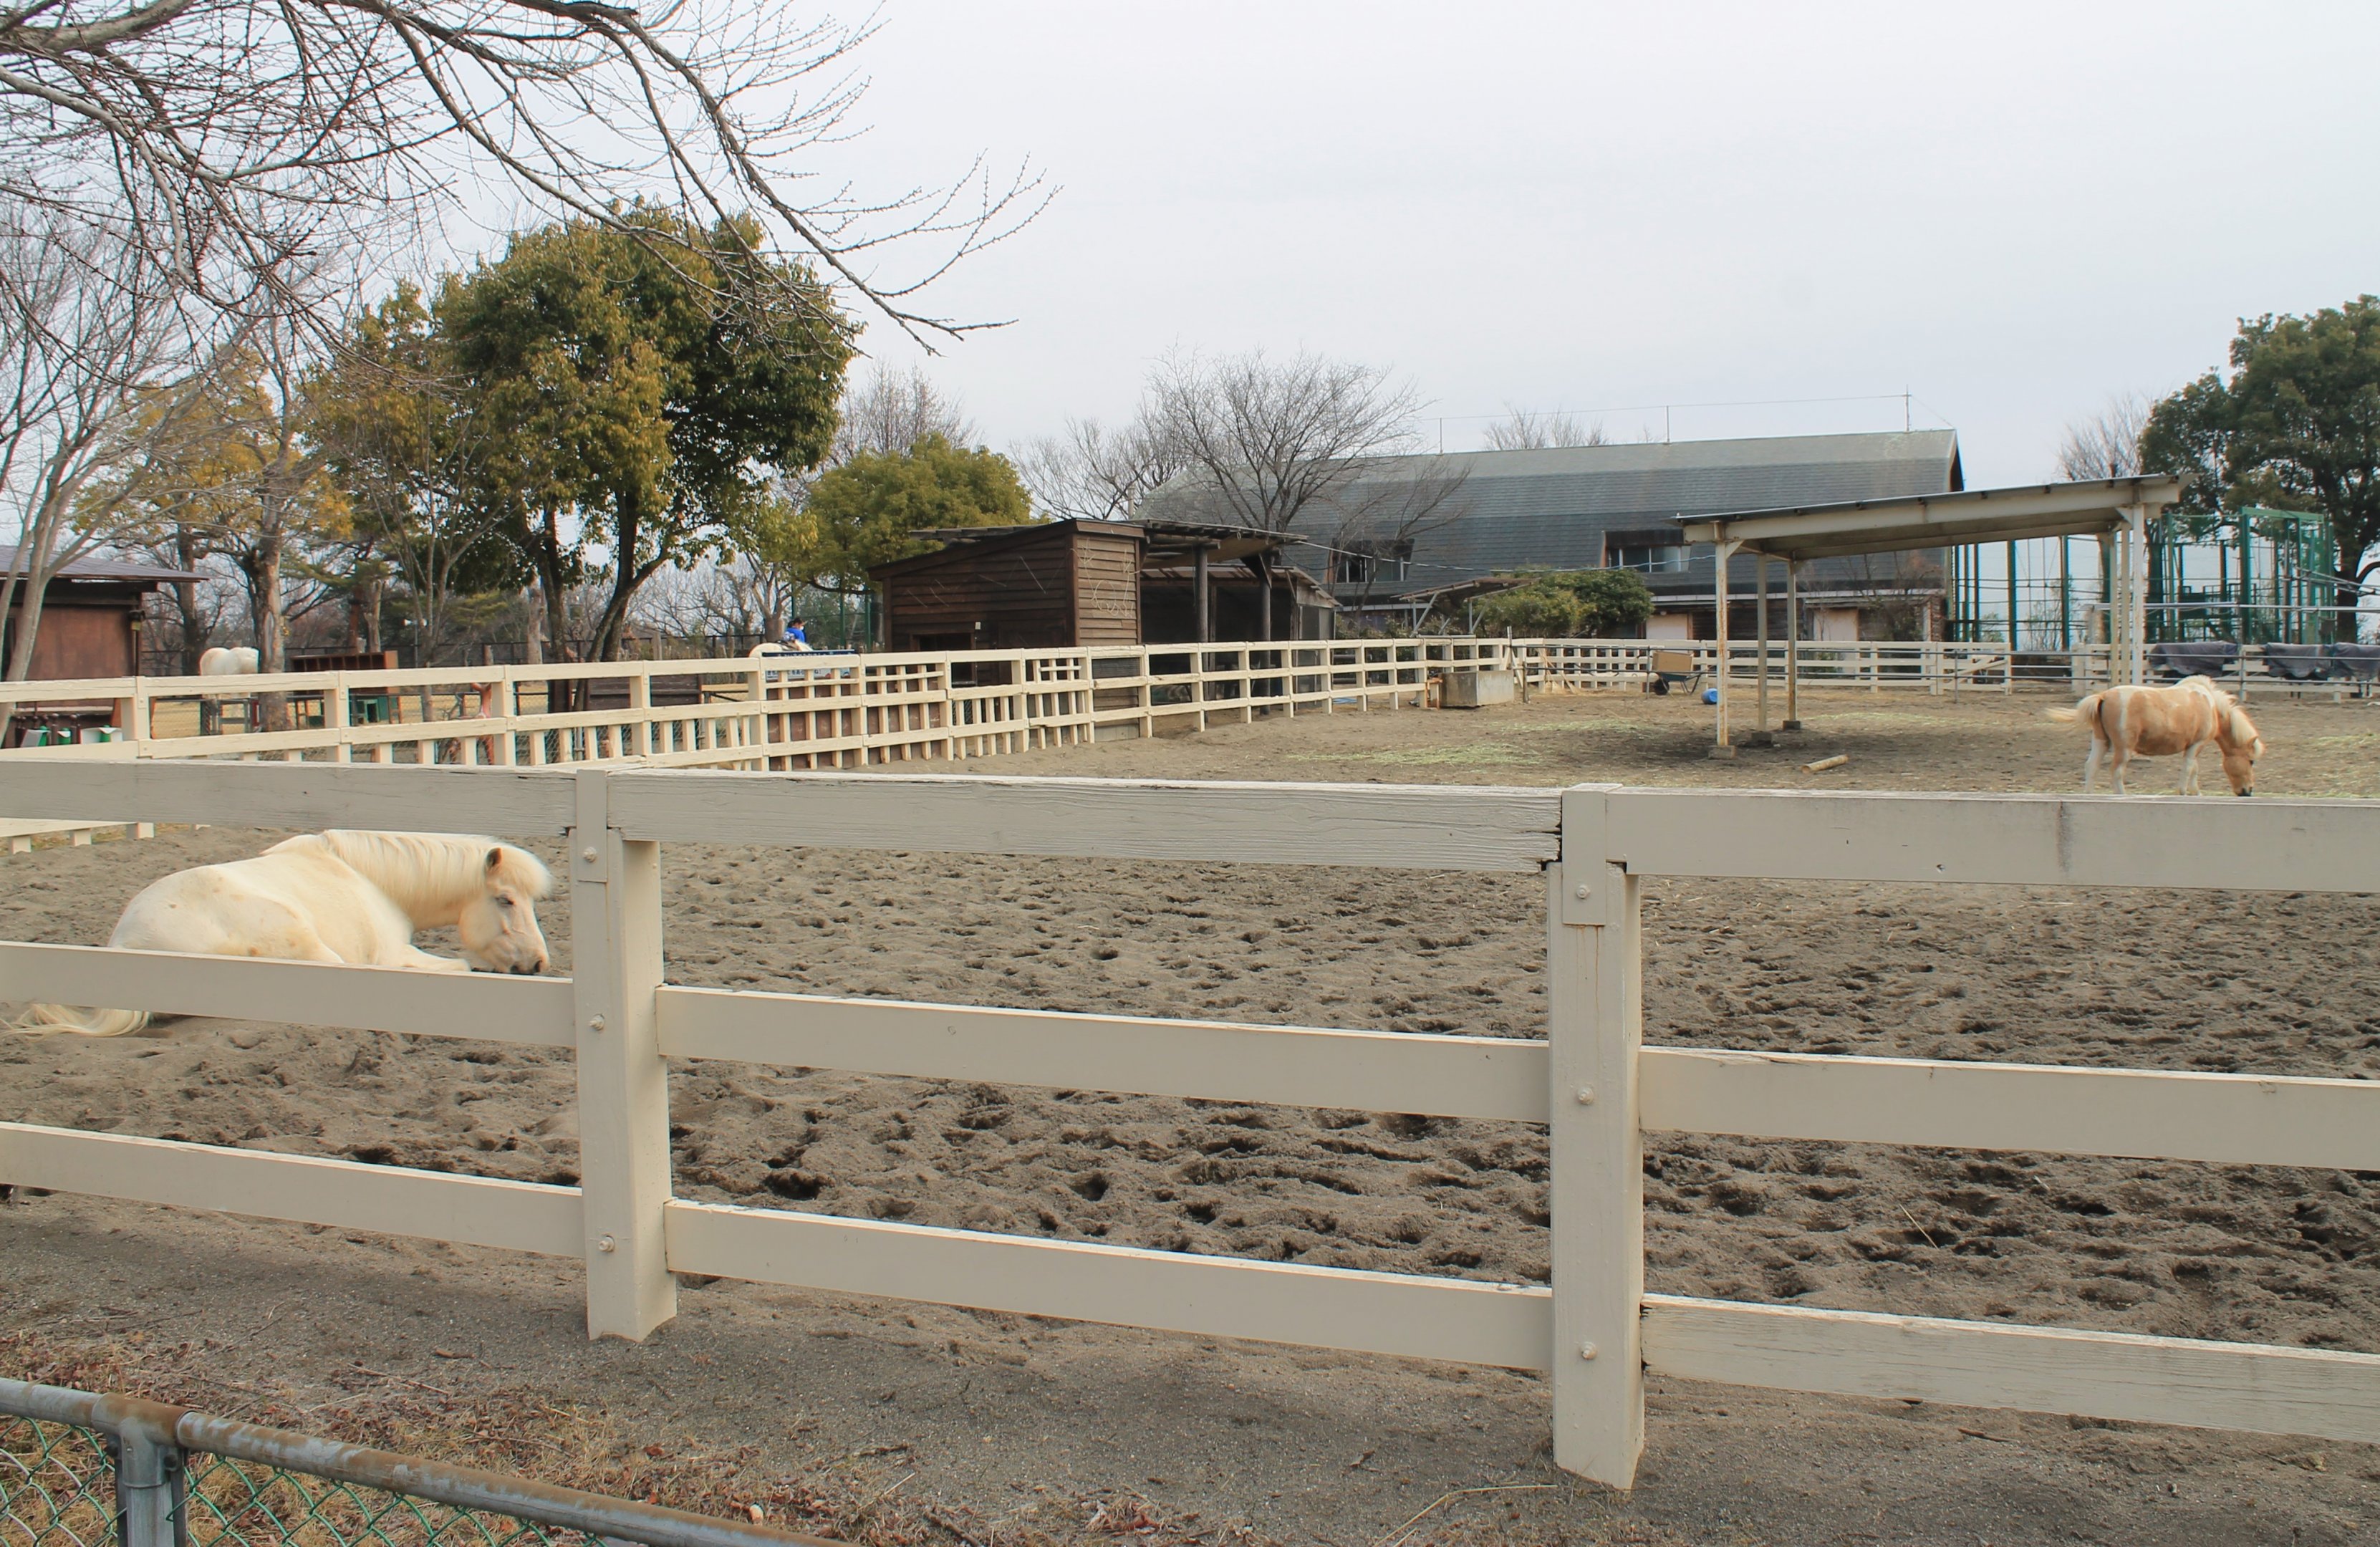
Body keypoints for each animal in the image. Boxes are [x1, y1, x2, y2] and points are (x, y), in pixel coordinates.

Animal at [9, 831, 553, 1037]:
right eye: (506, 900)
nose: (538, 964)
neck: (372, 880)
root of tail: (126, 948)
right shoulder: (391, 956)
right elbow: (460, 965)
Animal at [2047, 679, 2263, 796]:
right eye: (2251, 761)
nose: (2248, 791)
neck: (2210, 704)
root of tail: (2104, 697)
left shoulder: (2193, 747)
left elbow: (2194, 769)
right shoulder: (2196, 745)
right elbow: (2189, 769)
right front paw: (2185, 792)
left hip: (2101, 741)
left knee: (2091, 766)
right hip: (2124, 749)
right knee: (2116, 772)